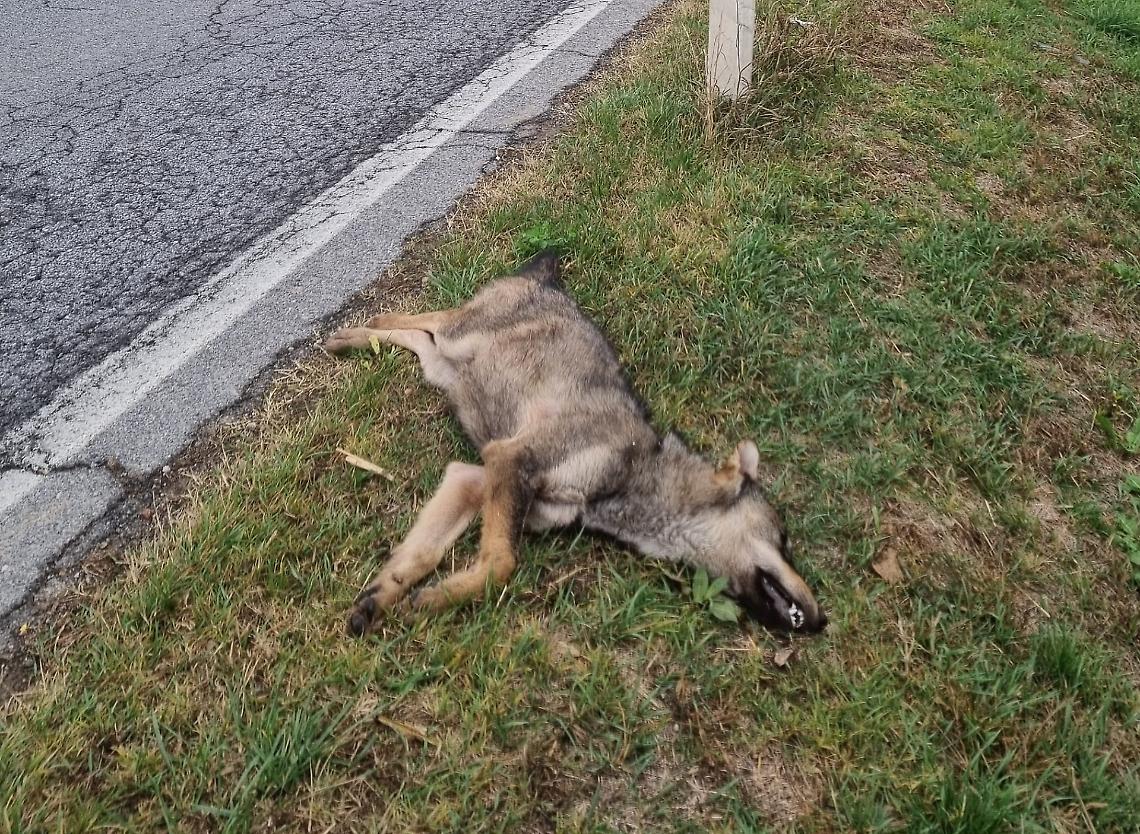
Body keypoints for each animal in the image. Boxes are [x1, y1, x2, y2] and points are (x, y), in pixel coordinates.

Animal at [324, 251, 827, 636]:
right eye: (783, 540)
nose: (822, 621)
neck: (631, 475)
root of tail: (548, 279)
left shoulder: (473, 477)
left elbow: (421, 554)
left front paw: (384, 598)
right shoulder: (510, 459)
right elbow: (501, 564)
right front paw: (432, 599)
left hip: (440, 364)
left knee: (412, 333)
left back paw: (355, 338)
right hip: (455, 335)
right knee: (419, 316)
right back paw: (350, 334)